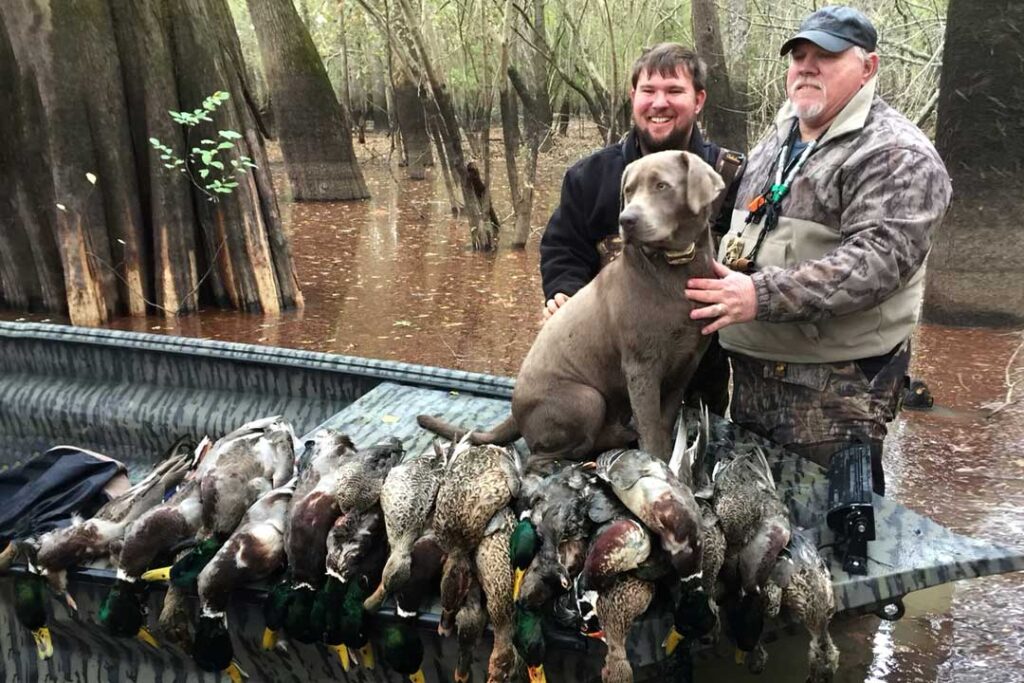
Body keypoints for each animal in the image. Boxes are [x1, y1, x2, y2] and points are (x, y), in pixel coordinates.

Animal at [417, 148, 729, 471]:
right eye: (628, 191)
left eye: (662, 186)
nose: (626, 219)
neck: (675, 268)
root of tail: (514, 412)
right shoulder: (641, 367)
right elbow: (651, 429)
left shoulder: (685, 365)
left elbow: (664, 423)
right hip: (587, 398)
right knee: (542, 454)